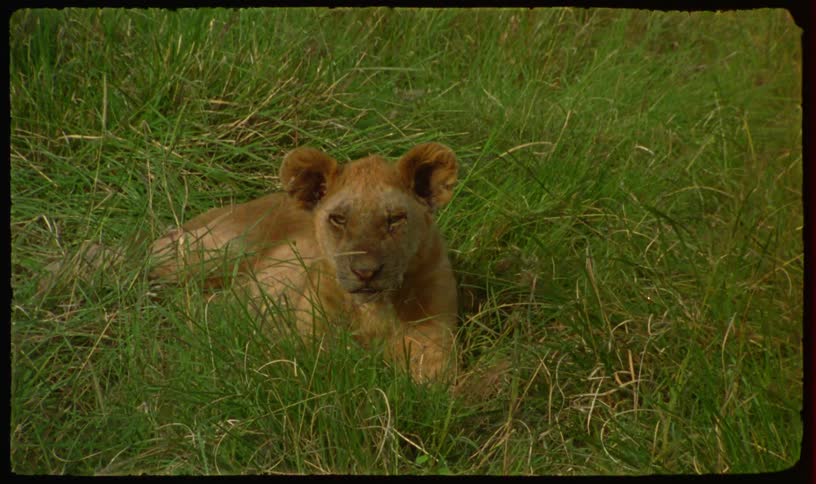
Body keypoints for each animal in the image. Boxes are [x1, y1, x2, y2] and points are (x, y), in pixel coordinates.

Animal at [148, 143, 460, 382]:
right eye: (339, 219)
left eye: (395, 219)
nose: (365, 272)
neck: (374, 311)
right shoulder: (308, 355)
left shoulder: (433, 354)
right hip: (214, 250)